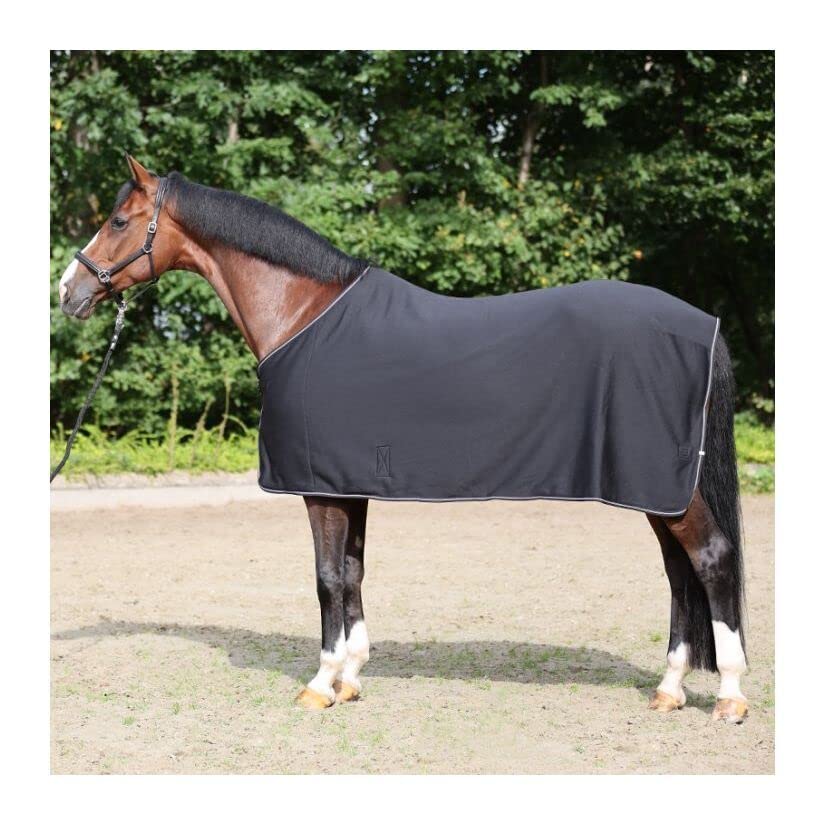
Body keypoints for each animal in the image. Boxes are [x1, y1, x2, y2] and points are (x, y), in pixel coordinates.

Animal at [56, 155, 748, 723]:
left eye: (118, 220)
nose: (68, 290)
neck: (303, 314)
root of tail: (705, 326)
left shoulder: (320, 489)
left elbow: (327, 579)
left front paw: (320, 683)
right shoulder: (348, 484)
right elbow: (353, 573)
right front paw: (351, 678)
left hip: (667, 486)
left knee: (711, 559)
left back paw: (730, 696)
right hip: (657, 490)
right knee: (679, 573)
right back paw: (670, 688)